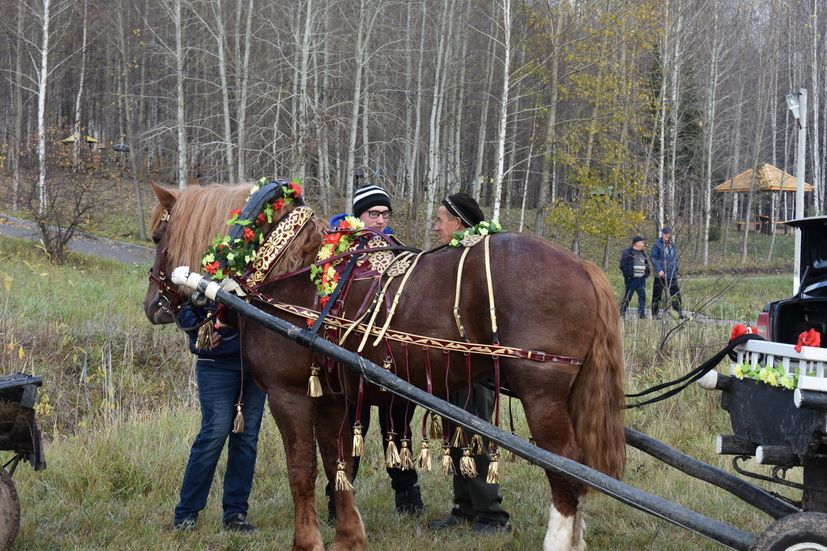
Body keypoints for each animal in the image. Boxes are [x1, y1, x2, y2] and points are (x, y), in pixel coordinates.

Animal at [144, 182, 620, 551]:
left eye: (157, 236)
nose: (153, 306)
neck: (289, 271)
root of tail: (584, 266)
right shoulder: (332, 396)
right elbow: (337, 465)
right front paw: (348, 538)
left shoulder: (288, 393)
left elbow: (302, 470)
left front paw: (307, 542)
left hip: (542, 396)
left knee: (566, 470)